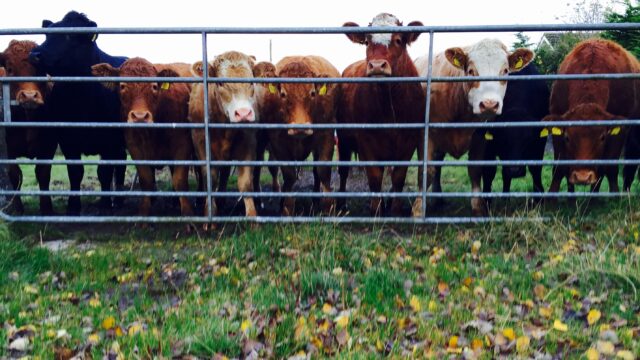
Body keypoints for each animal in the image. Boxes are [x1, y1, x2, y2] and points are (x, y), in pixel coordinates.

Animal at [256, 54, 340, 215]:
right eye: (283, 94)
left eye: (312, 93)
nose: (300, 128)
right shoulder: (277, 142)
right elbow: (289, 175)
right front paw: (286, 208)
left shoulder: (327, 136)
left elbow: (323, 171)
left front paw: (329, 208)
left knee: (315, 172)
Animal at [410, 38, 536, 217]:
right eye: (471, 71)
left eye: (505, 71)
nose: (489, 104)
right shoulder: (426, 135)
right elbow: (426, 171)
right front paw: (419, 209)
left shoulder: (479, 136)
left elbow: (476, 169)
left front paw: (479, 208)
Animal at [482, 63, 548, 201]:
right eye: (503, 139)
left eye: (528, 140)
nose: (514, 170)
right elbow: (489, 171)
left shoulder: (539, 142)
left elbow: (536, 168)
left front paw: (538, 198)